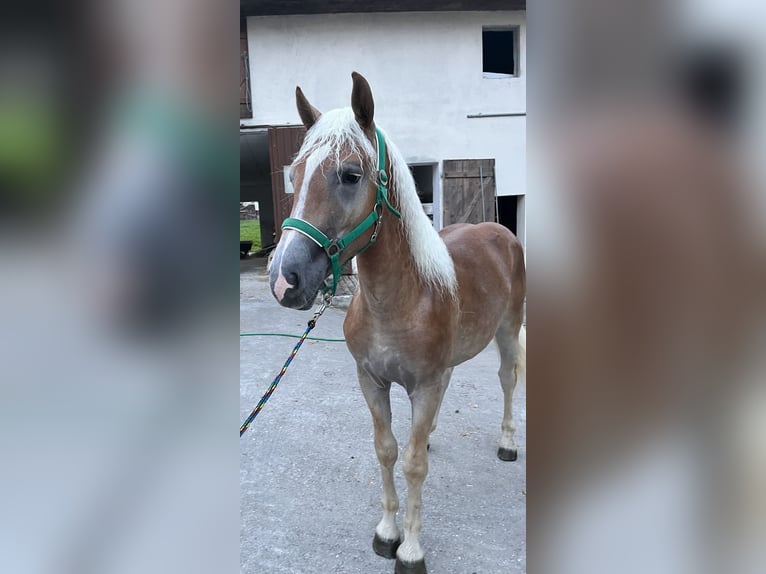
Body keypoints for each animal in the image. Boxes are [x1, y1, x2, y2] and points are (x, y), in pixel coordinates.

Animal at [270, 73, 528, 574]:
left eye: (351, 175)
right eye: (295, 175)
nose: (284, 279)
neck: (399, 301)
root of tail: (500, 231)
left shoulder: (424, 385)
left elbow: (412, 466)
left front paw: (410, 549)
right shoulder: (372, 381)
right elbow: (388, 450)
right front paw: (387, 533)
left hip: (508, 331)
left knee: (508, 380)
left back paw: (507, 443)